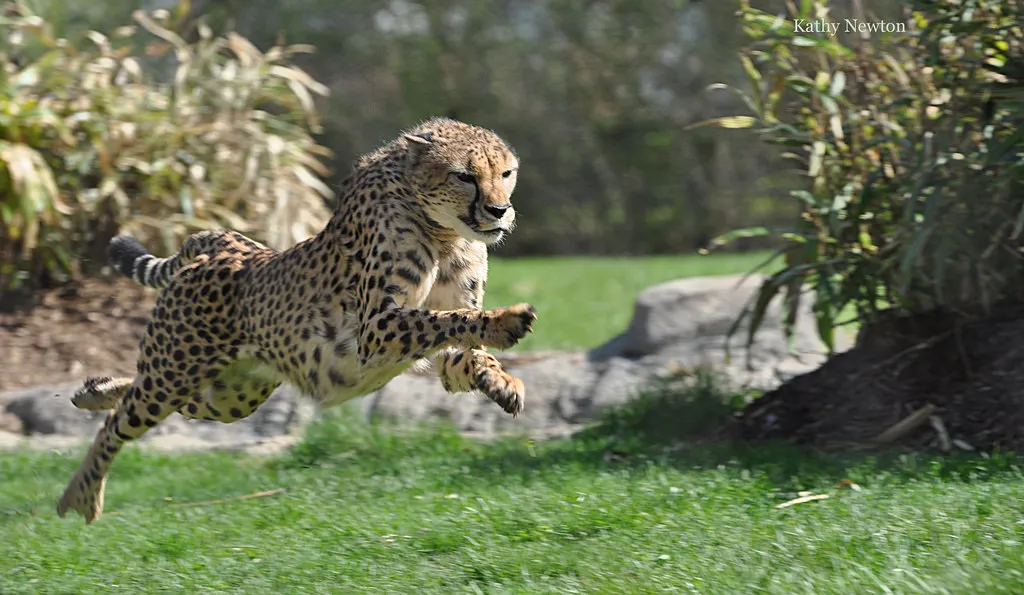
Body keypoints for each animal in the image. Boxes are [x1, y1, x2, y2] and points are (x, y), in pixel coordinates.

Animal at [57, 117, 537, 524]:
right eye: (465, 176)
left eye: (506, 173)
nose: (499, 210)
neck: (443, 230)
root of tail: (227, 243)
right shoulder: (375, 330)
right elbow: (448, 318)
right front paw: (505, 321)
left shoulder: (431, 346)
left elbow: (461, 341)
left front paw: (501, 380)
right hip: (178, 372)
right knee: (120, 422)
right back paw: (79, 493)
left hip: (230, 395)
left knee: (149, 396)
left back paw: (94, 391)